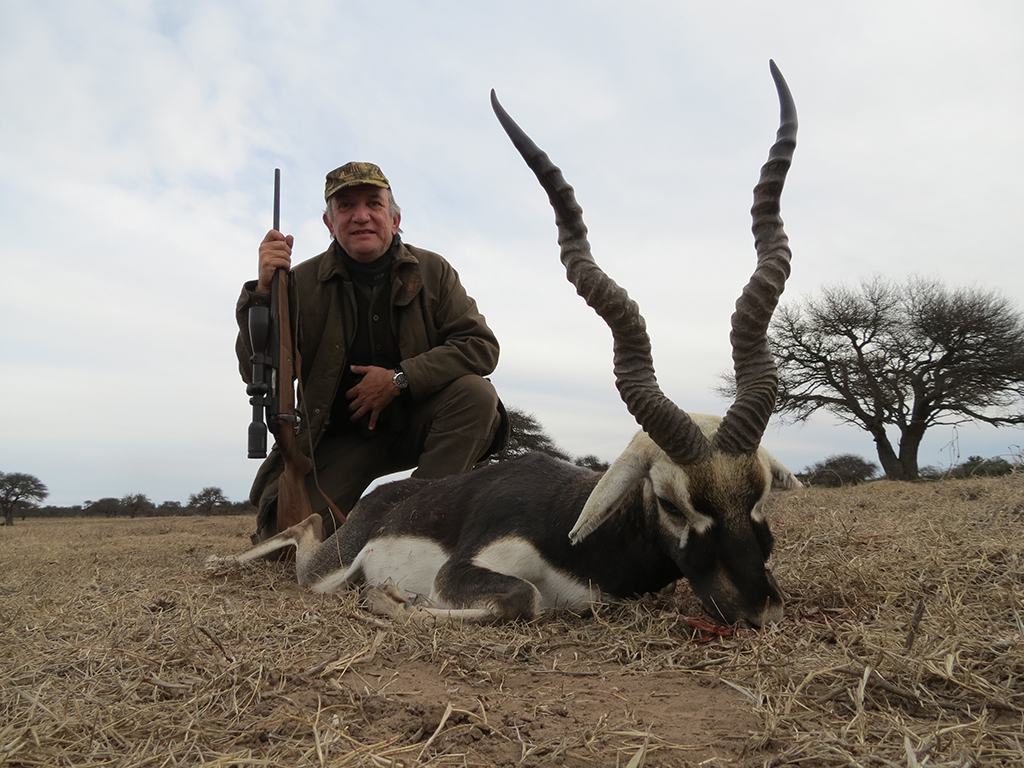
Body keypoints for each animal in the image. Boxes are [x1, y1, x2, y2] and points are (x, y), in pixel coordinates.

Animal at [237, 63, 798, 630]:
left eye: (760, 495)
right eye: (670, 502)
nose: (759, 606)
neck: (580, 545)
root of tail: (381, 499)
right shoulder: (464, 572)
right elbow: (523, 598)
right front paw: (391, 598)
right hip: (328, 570)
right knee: (306, 535)